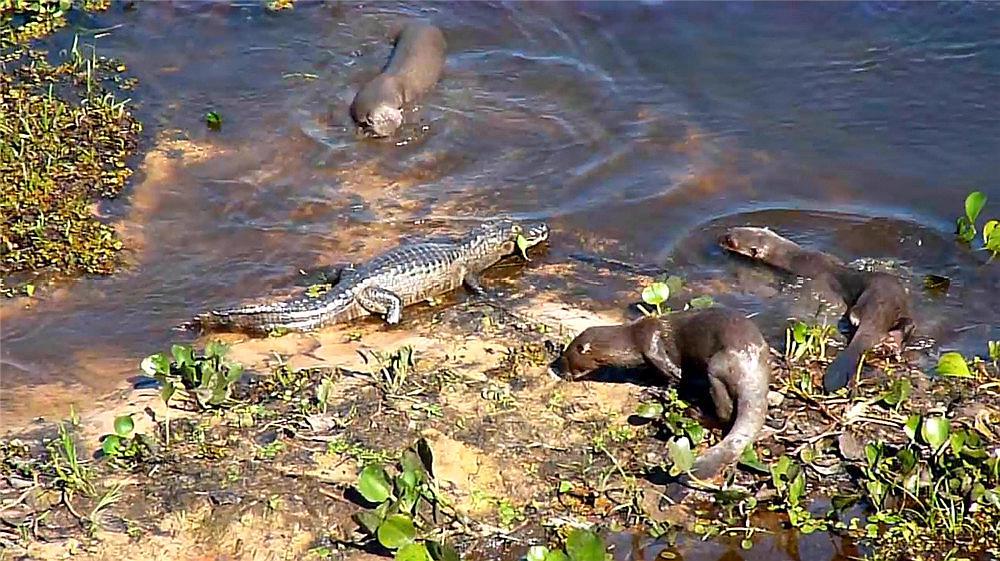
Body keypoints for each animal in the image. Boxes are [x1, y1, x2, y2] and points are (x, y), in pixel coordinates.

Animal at [552, 306, 768, 482]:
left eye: (566, 358)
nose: (559, 371)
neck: (632, 339)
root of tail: (751, 370)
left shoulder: (651, 345)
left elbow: (675, 376)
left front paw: (655, 391)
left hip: (716, 368)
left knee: (724, 413)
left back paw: (695, 412)